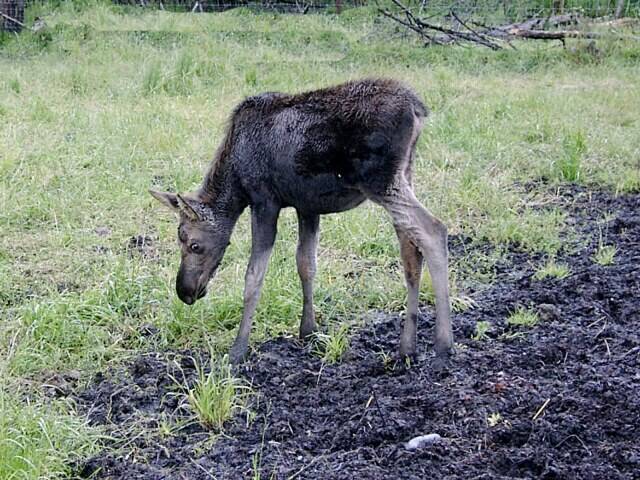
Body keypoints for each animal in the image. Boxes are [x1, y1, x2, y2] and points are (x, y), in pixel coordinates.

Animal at [150, 78, 454, 366]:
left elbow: (253, 277)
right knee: (410, 251)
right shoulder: (307, 206)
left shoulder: (264, 201)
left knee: (433, 230)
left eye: (194, 245)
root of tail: (418, 109)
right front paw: (308, 330)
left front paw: (238, 349)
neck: (235, 182)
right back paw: (407, 348)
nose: (185, 291)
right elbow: (306, 265)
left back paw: (443, 344)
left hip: (379, 181)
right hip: (403, 174)